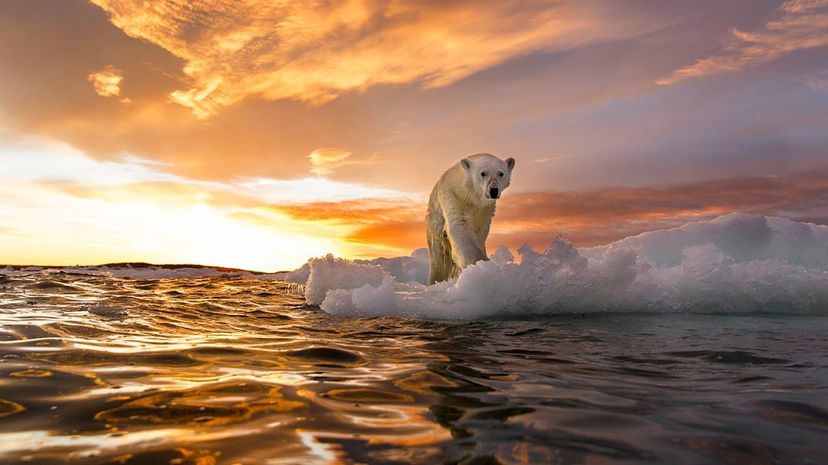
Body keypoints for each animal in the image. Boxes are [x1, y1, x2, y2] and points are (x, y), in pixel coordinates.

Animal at [430, 153, 516, 282]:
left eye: (501, 173)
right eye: (483, 173)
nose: (493, 190)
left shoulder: (485, 210)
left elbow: (480, 233)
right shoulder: (454, 197)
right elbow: (460, 226)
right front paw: (479, 264)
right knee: (438, 260)